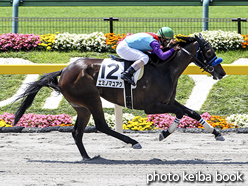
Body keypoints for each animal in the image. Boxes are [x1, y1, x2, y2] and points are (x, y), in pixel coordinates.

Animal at [13, 34, 227, 160]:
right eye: (209, 50)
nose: (221, 72)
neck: (165, 69)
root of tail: (64, 70)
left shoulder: (168, 101)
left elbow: (192, 112)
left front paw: (217, 133)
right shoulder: (151, 106)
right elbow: (180, 113)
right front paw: (164, 133)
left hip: (81, 107)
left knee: (77, 132)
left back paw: (87, 157)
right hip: (92, 99)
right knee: (101, 126)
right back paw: (133, 142)